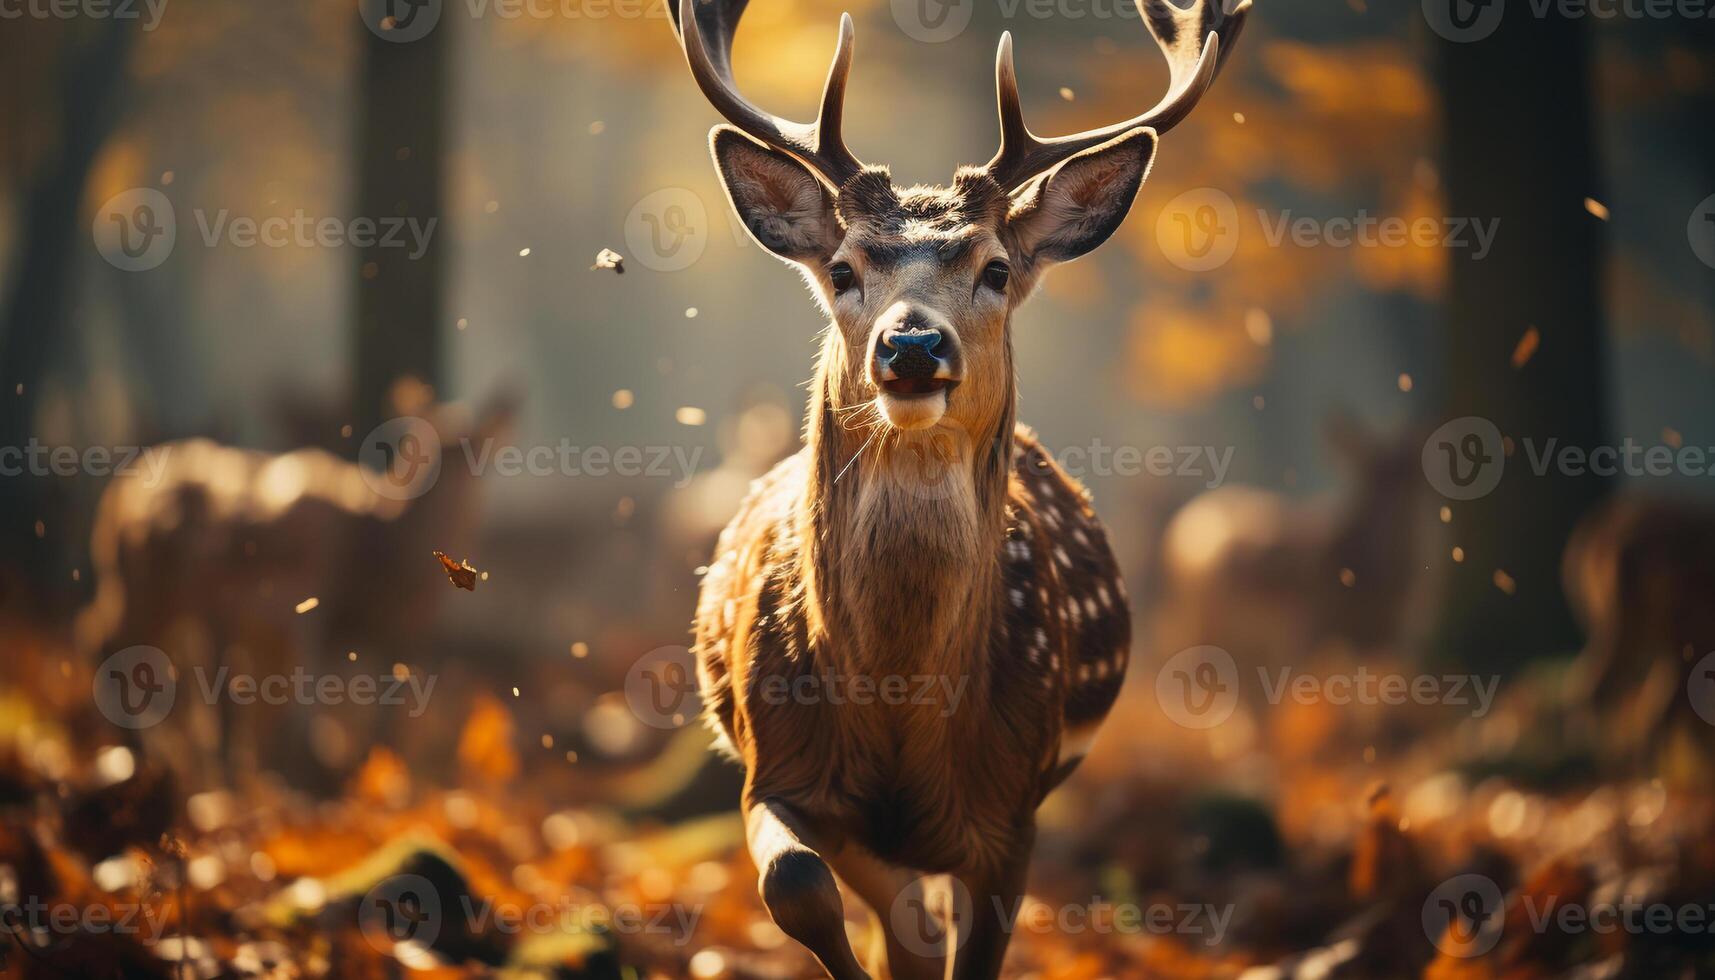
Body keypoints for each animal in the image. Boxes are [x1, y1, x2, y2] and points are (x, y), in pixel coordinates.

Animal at [665, 0, 1248, 974]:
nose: (911, 345)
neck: (903, 718)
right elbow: (796, 883)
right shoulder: (775, 764)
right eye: (844, 268)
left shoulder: (1010, 810)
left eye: (996, 268)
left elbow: (973, 949)